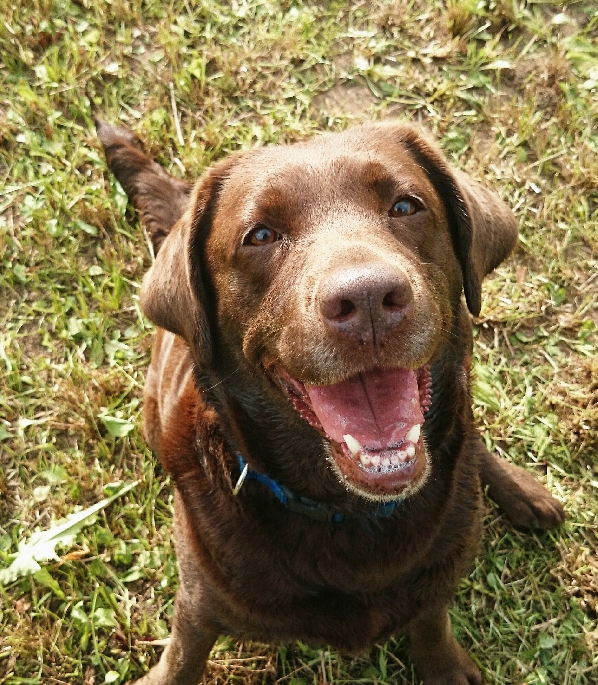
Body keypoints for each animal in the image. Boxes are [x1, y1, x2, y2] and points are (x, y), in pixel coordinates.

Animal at [96, 118, 564, 685]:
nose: (367, 299)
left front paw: (445, 665)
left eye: (406, 206)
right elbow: (183, 657)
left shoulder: (439, 575)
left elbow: (430, 619)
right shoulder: (198, 602)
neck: (347, 511)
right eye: (260, 236)